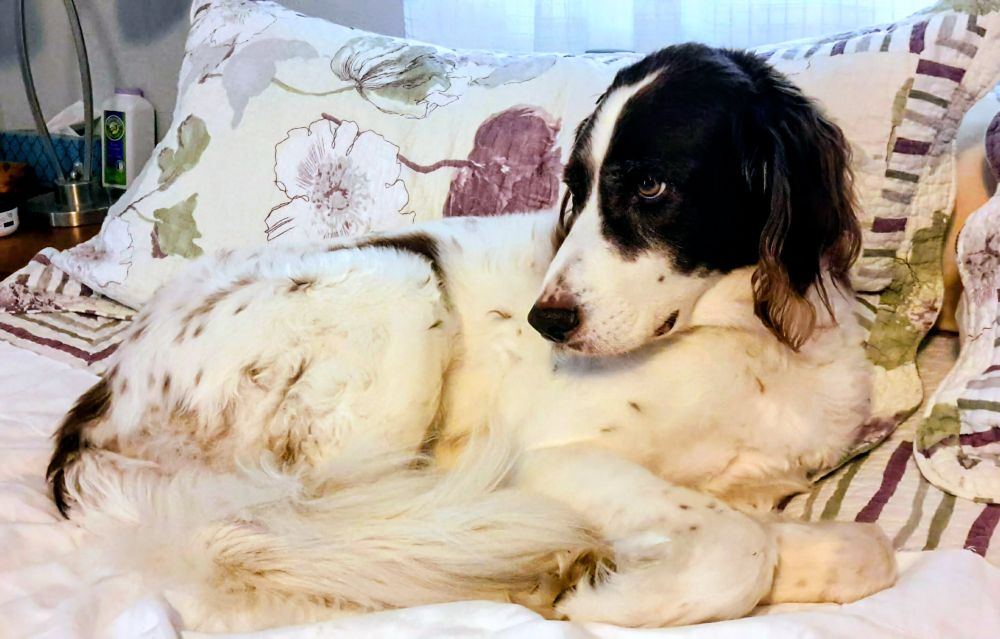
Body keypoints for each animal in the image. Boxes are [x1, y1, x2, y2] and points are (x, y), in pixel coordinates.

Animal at [47, 44, 895, 631]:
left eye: (653, 186)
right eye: (575, 188)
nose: (544, 321)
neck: (746, 344)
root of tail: (108, 385)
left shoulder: (761, 487)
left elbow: (849, 545)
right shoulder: (552, 457)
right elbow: (739, 549)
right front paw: (604, 592)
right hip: (393, 287)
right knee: (276, 535)